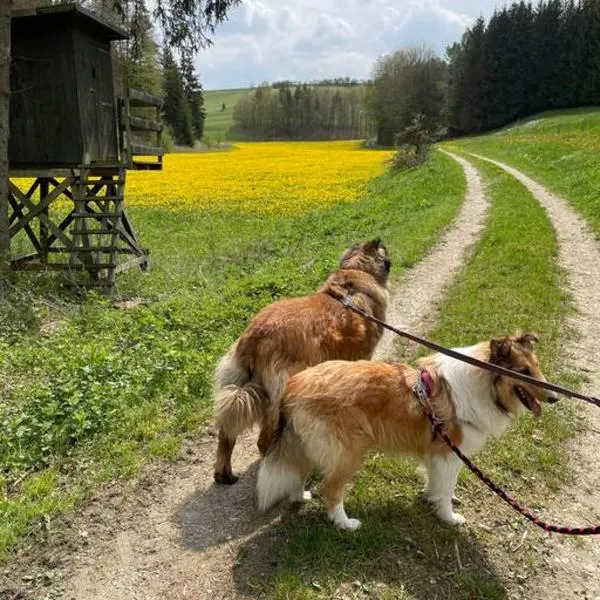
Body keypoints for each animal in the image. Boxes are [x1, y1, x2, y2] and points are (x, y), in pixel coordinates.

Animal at [213, 238, 392, 482]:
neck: (355, 271)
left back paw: (224, 474)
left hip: (236, 384)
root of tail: (254, 337)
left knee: (226, 433)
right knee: (264, 442)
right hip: (282, 390)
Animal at [256, 332, 556, 528]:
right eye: (523, 371)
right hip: (348, 453)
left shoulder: (437, 453)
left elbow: (437, 482)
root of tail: (294, 386)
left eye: (536, 367)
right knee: (331, 491)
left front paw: (431, 498)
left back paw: (301, 496)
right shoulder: (450, 453)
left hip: (308, 444)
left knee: (298, 471)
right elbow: (446, 487)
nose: (554, 397)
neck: (483, 382)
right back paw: (346, 523)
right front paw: (448, 517)